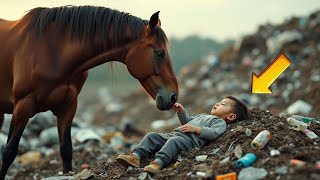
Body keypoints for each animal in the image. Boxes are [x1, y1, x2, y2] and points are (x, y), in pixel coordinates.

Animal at [0, 5, 179, 179]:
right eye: (159, 53)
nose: (173, 96)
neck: (52, 52)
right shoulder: (23, 107)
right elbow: (9, 152)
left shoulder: (68, 106)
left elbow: (66, 150)